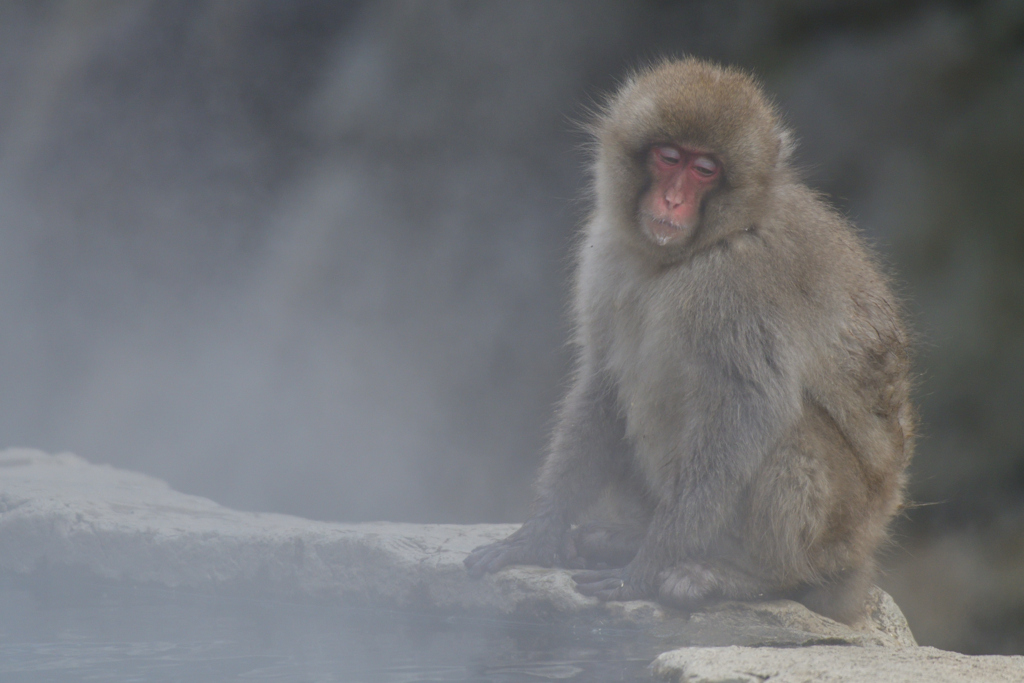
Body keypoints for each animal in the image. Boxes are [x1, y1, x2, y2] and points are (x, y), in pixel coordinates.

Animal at [464, 58, 913, 626]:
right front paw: (537, 535)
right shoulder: (606, 250)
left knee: (790, 436)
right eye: (670, 157)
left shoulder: (738, 282)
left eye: (706, 170)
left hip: (836, 535)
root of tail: (861, 557)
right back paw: (623, 538)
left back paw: (746, 576)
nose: (673, 200)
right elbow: (603, 381)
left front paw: (648, 566)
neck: (693, 251)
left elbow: (748, 409)